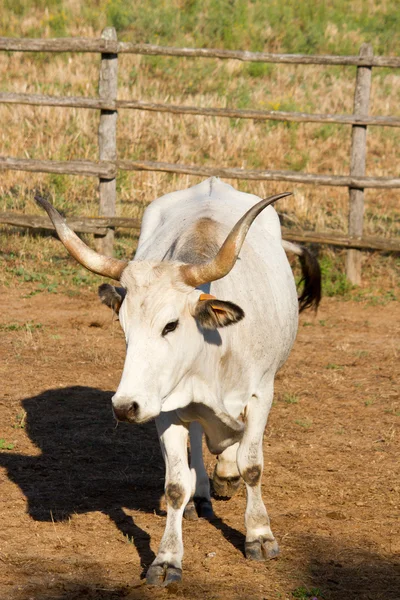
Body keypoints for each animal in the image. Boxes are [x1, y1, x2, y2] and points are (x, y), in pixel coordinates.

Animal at [36, 178, 318, 584]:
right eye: (123, 326)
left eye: (170, 324)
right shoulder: (164, 407)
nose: (124, 407)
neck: (214, 349)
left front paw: (259, 534)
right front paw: (168, 557)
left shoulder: (261, 395)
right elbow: (174, 485)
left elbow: (252, 465)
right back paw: (204, 490)